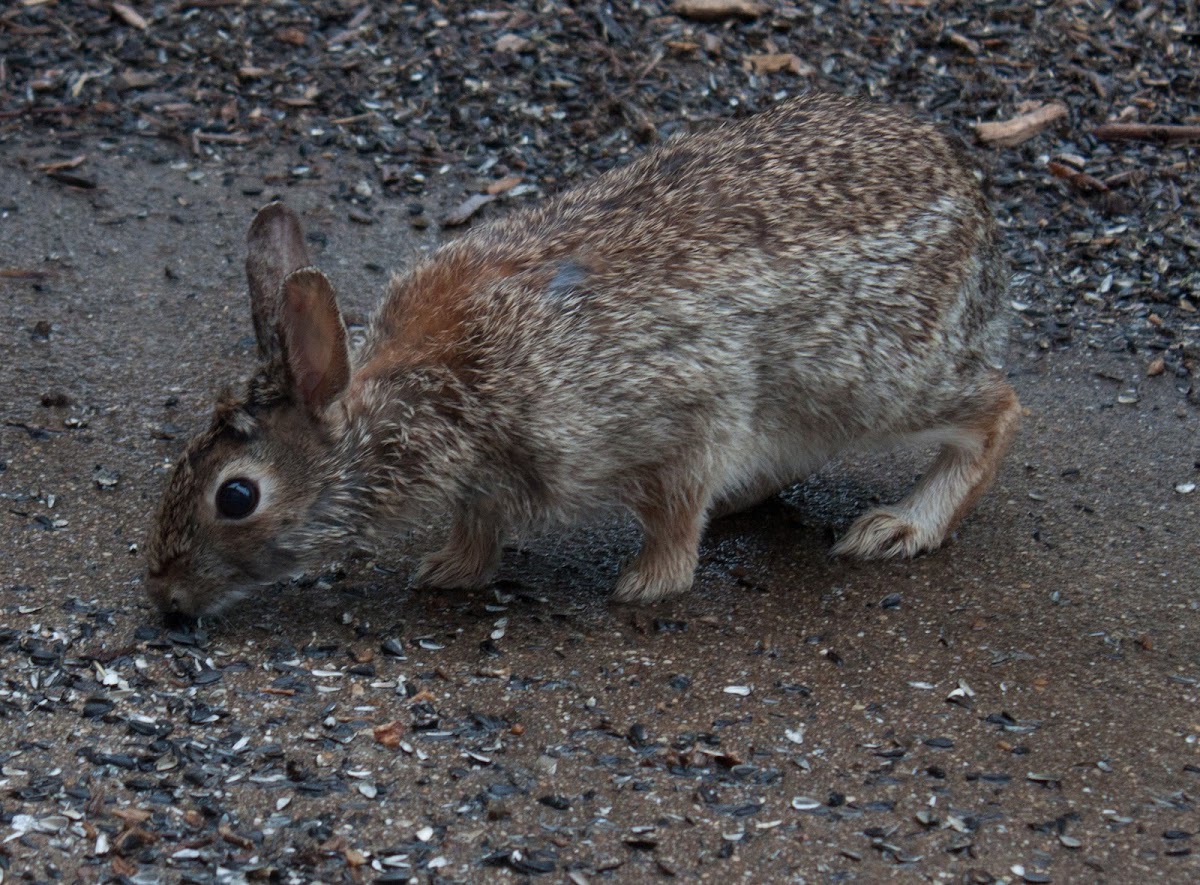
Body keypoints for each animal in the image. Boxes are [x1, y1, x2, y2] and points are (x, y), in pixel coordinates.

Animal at [145, 91, 1017, 613]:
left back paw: (899, 526)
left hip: (876, 375)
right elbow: (479, 523)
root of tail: (972, 200)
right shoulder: (485, 477)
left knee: (997, 407)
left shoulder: (682, 412)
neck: (423, 395)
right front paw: (450, 570)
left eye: (236, 496)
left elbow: (673, 511)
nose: (166, 597)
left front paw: (646, 586)